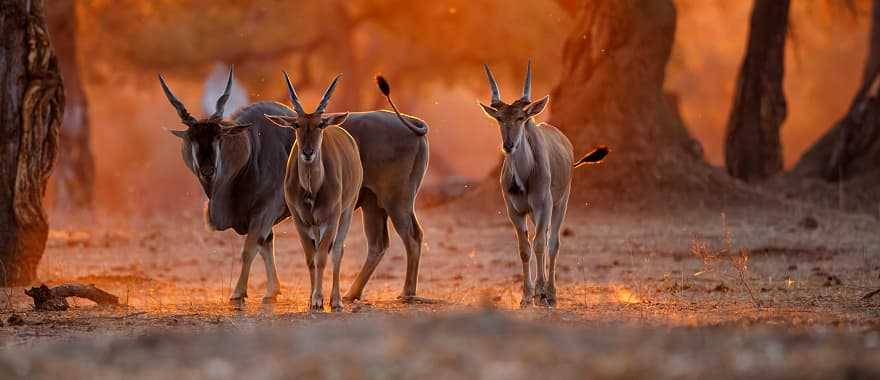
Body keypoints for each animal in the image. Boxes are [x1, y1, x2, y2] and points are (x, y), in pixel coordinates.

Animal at [268, 73, 364, 312]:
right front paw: (312, 299)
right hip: (316, 224)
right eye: (296, 124)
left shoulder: (331, 218)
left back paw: (336, 299)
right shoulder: (300, 220)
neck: (312, 189)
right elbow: (310, 258)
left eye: (320, 124)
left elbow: (322, 257)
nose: (308, 152)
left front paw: (320, 299)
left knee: (337, 250)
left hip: (347, 211)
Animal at [478, 60, 608, 308]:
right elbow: (524, 248)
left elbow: (539, 245)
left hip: (561, 203)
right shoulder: (515, 211)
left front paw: (540, 295)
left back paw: (551, 293)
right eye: (500, 118)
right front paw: (526, 296)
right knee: (544, 239)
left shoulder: (543, 205)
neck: (524, 177)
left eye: (521, 118)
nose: (508, 145)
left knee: (552, 243)